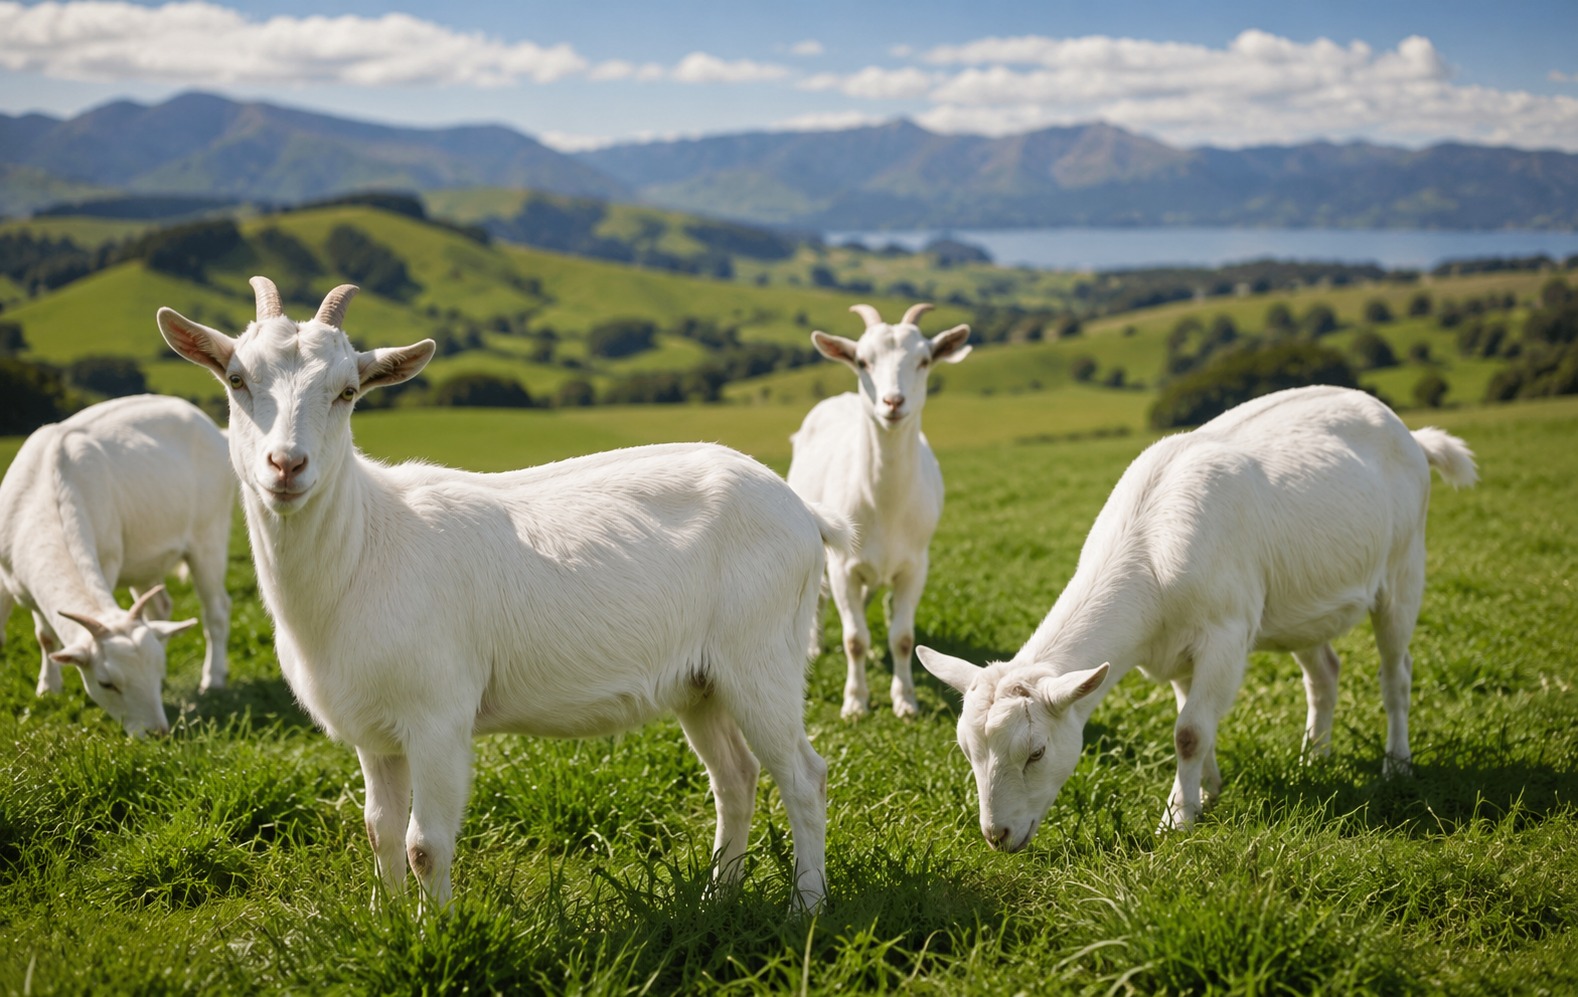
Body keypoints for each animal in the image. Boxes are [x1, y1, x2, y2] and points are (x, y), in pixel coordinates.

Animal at [0, 395, 233, 735]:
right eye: (106, 684)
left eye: (157, 673)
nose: (157, 732)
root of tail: (214, 428)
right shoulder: (14, 581)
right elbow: (44, 637)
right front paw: (48, 689)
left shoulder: (106, 561)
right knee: (161, 605)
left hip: (211, 533)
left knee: (216, 610)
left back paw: (213, 679)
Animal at [157, 277, 849, 909]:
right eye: (236, 379)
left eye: (348, 392)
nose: (286, 466)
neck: (363, 547)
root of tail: (804, 510)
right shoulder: (373, 728)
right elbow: (380, 831)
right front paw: (385, 925)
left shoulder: (438, 713)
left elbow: (424, 844)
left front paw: (434, 937)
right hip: (700, 681)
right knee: (736, 777)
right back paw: (715, 899)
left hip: (762, 657)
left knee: (804, 777)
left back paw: (805, 908)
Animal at [787, 303, 971, 719]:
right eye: (862, 360)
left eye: (924, 360)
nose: (892, 402)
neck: (885, 507)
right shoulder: (843, 567)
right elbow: (854, 637)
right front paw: (856, 702)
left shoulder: (915, 565)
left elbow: (902, 637)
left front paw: (905, 700)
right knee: (820, 597)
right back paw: (813, 646)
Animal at [917, 386, 1477, 849]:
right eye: (967, 750)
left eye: (1035, 752)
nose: (997, 835)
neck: (1147, 550)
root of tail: (1409, 433)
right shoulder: (1176, 650)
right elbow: (1195, 719)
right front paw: (1207, 791)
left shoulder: (1225, 634)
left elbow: (1188, 730)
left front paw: (1176, 819)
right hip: (1302, 605)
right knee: (1324, 673)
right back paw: (1312, 758)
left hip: (1404, 571)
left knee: (1395, 673)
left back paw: (1396, 766)